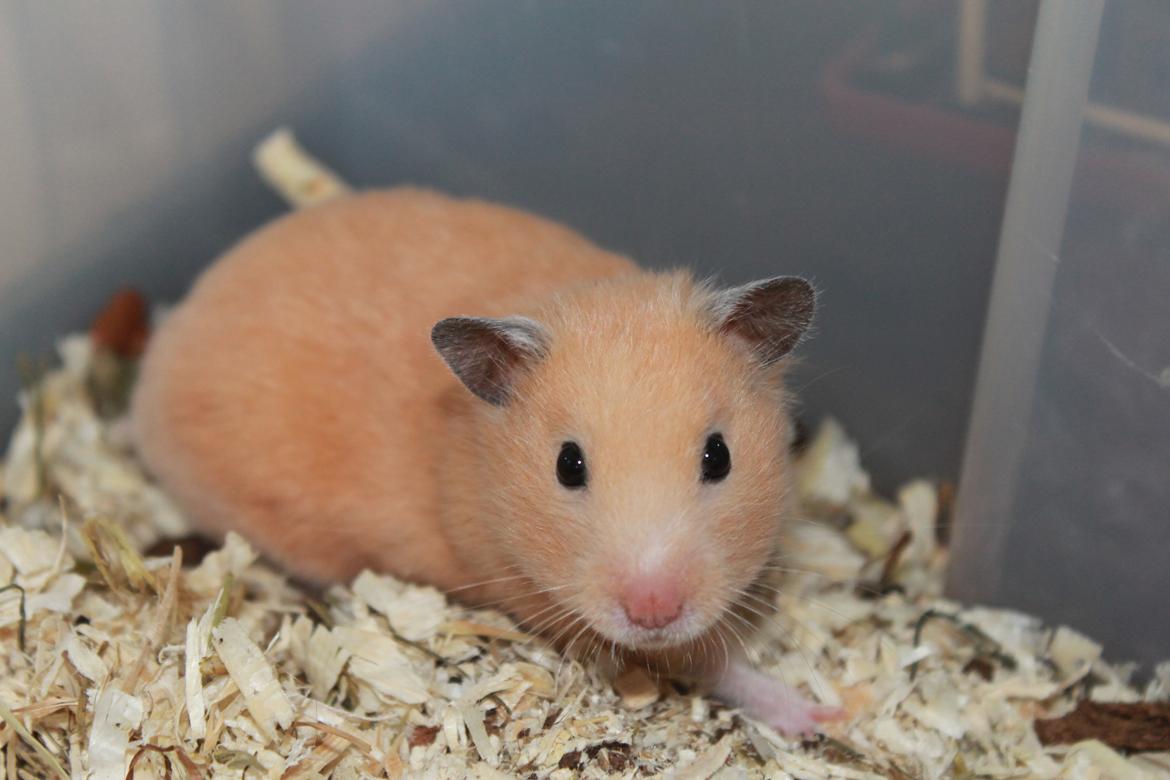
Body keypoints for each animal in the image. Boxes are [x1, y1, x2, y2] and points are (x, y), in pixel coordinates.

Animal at [131, 188, 840, 735]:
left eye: (719, 456)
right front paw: (825, 717)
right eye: (568, 466)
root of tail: (167, 343)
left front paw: (831, 715)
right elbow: (714, 665)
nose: (653, 613)